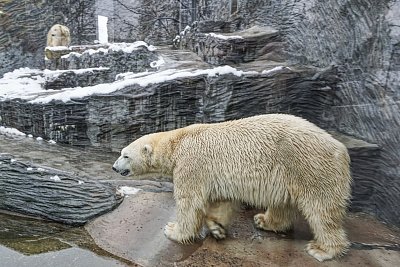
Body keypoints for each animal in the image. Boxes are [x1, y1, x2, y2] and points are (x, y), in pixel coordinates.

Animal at [111, 114, 350, 262]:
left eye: (125, 155)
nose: (114, 167)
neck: (177, 142)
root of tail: (341, 148)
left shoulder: (192, 164)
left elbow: (190, 202)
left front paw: (173, 230)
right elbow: (222, 201)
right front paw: (216, 227)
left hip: (309, 167)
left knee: (321, 210)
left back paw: (322, 249)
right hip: (290, 173)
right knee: (282, 202)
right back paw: (264, 220)